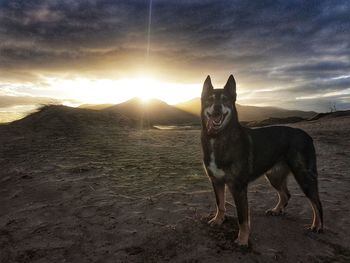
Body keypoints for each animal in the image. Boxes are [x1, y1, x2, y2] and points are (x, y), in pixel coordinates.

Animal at [201, 75, 324, 248]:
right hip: (274, 176)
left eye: (225, 100)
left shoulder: (238, 187)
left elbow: (243, 218)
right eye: (210, 100)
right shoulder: (216, 181)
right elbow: (220, 204)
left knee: (316, 201)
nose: (217, 108)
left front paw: (242, 239)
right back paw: (277, 210)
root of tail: (307, 136)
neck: (218, 137)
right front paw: (218, 220)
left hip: (304, 175)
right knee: (286, 194)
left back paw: (317, 225)